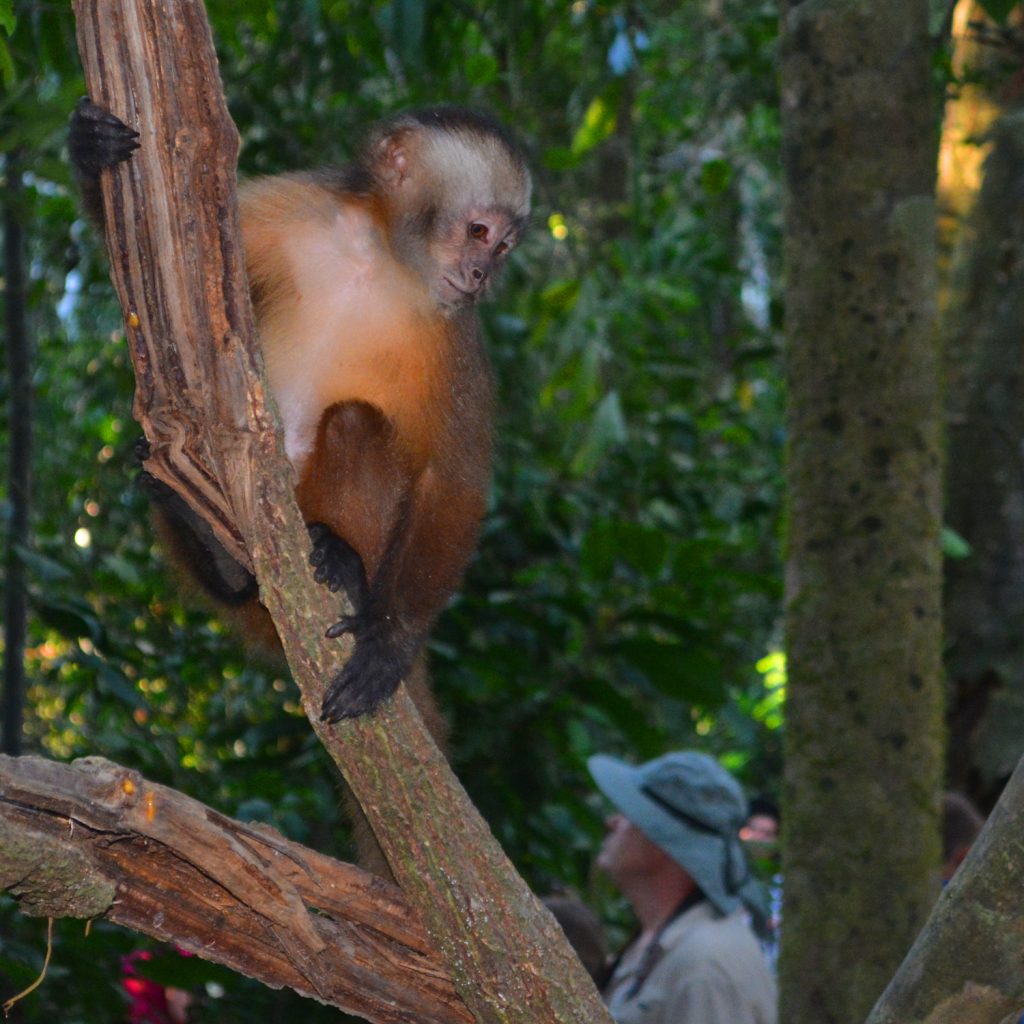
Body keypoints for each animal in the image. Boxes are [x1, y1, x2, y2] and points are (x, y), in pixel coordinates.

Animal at [69, 99, 532, 729]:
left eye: (502, 247)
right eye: (478, 232)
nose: (482, 274)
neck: (378, 255)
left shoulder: (458, 330)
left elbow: (453, 479)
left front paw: (390, 645)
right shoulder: (297, 205)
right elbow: (166, 263)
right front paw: (93, 154)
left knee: (353, 423)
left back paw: (348, 571)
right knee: (160, 447)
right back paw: (220, 560)